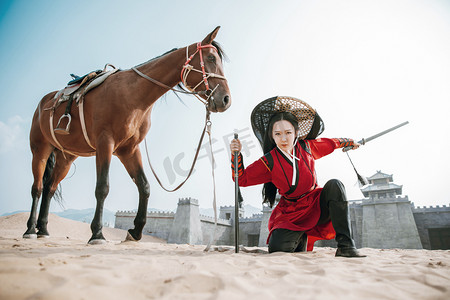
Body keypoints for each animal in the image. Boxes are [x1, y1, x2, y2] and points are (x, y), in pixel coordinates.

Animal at [23, 26, 232, 244]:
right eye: (210, 58)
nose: (226, 99)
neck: (132, 94)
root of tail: (43, 103)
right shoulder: (105, 144)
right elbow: (102, 187)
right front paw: (97, 233)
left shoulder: (129, 149)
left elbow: (144, 186)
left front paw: (136, 230)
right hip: (40, 150)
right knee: (37, 188)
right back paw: (30, 229)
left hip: (67, 157)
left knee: (50, 188)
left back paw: (43, 229)